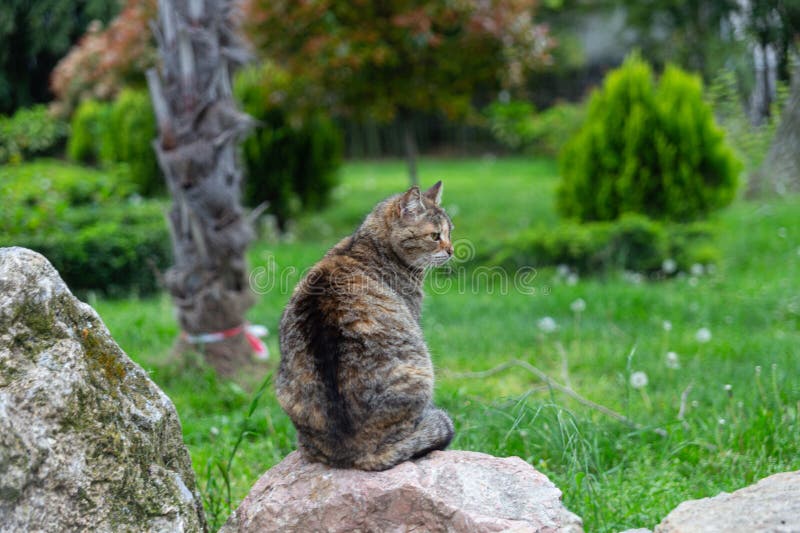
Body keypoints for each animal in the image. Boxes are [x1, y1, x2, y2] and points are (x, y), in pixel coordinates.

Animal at [276, 181, 454, 468]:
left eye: (450, 231)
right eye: (435, 236)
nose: (451, 250)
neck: (364, 245)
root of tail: (356, 451)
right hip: (421, 369)